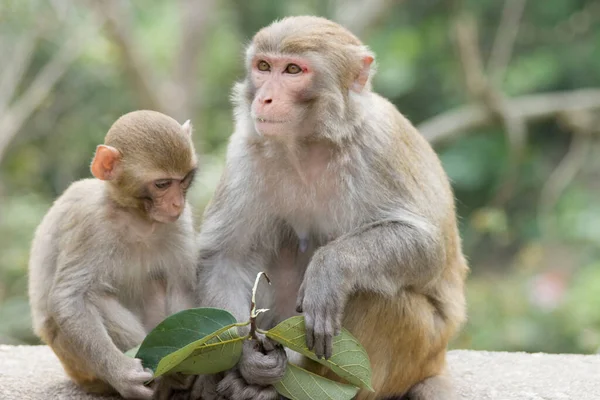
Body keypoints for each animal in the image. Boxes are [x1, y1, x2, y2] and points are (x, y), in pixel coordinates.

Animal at [27, 110, 199, 400]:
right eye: (162, 184)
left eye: (185, 180)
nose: (177, 203)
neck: (137, 217)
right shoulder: (91, 225)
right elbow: (70, 299)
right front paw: (122, 374)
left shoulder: (179, 223)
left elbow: (183, 287)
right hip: (78, 365)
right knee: (96, 298)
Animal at [197, 15, 468, 400]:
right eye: (263, 67)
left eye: (293, 70)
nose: (264, 98)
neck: (312, 142)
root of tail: (437, 360)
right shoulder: (246, 150)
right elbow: (228, 257)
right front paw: (249, 358)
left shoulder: (377, 145)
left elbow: (429, 248)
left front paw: (330, 267)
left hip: (420, 348)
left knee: (375, 297)